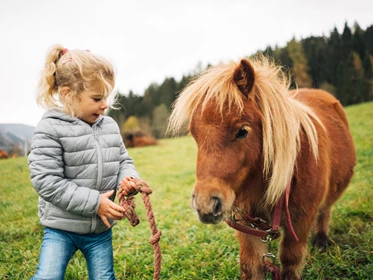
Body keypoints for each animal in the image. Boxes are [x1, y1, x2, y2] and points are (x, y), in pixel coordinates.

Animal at [167, 55, 356, 278]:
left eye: (242, 131)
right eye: (194, 134)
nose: (206, 204)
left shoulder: (300, 223)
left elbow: (291, 262)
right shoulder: (249, 228)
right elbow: (251, 265)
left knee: (325, 210)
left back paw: (321, 240)